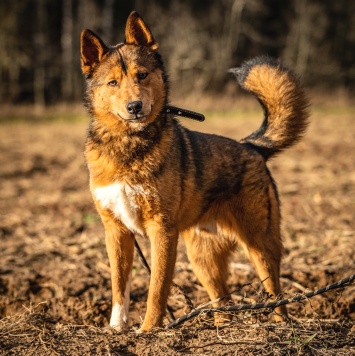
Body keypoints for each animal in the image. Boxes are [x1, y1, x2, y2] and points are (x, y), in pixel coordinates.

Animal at [80, 12, 308, 332]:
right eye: (113, 82)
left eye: (142, 75)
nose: (135, 106)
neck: (129, 145)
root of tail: (251, 147)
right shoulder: (116, 231)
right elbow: (118, 288)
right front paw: (116, 330)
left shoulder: (162, 231)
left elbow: (156, 290)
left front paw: (148, 330)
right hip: (203, 259)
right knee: (223, 302)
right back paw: (223, 327)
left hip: (259, 244)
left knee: (275, 291)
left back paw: (279, 326)